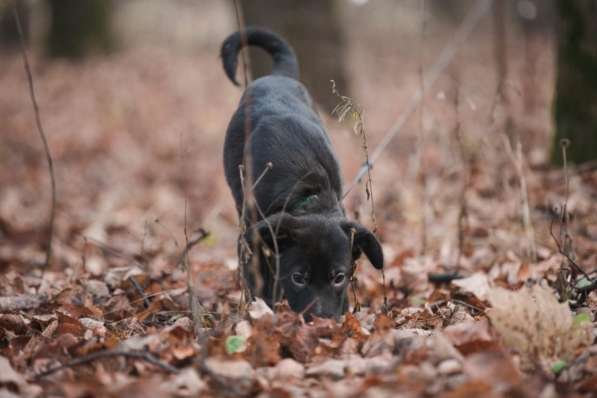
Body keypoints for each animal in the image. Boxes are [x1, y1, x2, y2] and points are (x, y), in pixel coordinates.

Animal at [219, 28, 382, 318]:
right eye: (298, 278)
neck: (308, 194)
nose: (322, 320)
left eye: (338, 277)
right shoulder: (250, 240)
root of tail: (279, 76)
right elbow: (259, 283)